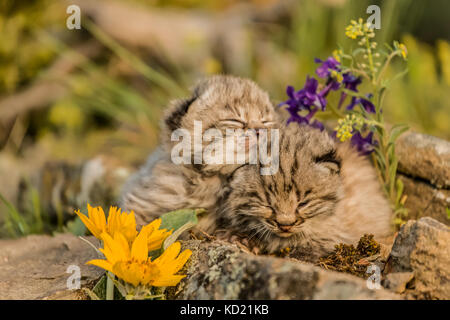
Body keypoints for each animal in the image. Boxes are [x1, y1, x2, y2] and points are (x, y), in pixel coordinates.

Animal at [213, 124, 392, 262]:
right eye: (268, 205)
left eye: (303, 203)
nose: (285, 225)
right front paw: (239, 237)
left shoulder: (343, 228)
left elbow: (320, 242)